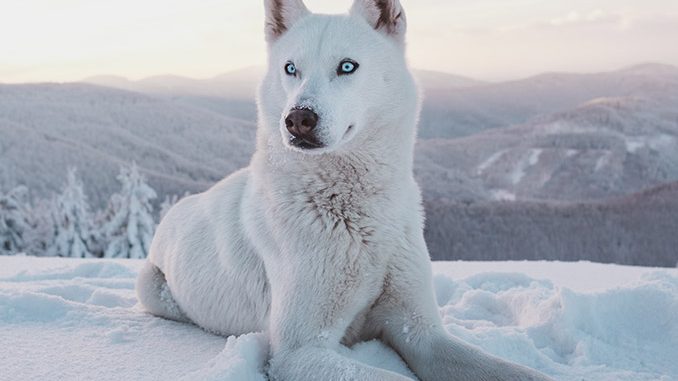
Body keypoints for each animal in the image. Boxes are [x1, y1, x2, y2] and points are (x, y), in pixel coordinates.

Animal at [135, 1, 556, 378]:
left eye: (347, 66)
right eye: (291, 68)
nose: (298, 119)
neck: (356, 213)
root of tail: (178, 208)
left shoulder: (422, 333)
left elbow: (514, 372)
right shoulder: (299, 351)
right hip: (152, 290)